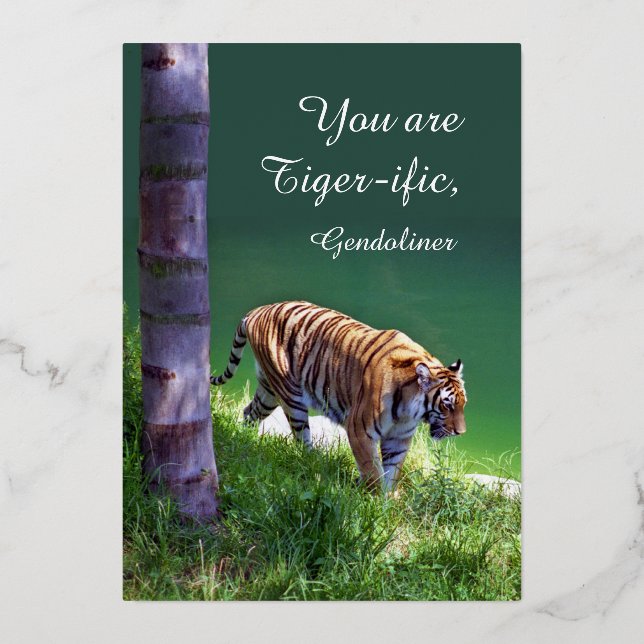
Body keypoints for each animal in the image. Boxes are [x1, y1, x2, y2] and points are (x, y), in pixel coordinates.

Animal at [210, 301, 467, 491]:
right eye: (447, 405)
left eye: (463, 404)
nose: (461, 432)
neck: (408, 410)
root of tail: (256, 310)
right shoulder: (359, 430)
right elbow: (373, 472)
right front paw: (375, 503)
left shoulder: (399, 438)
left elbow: (392, 473)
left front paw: (388, 505)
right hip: (291, 395)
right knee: (301, 438)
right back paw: (313, 463)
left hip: (269, 391)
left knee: (248, 412)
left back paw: (244, 440)